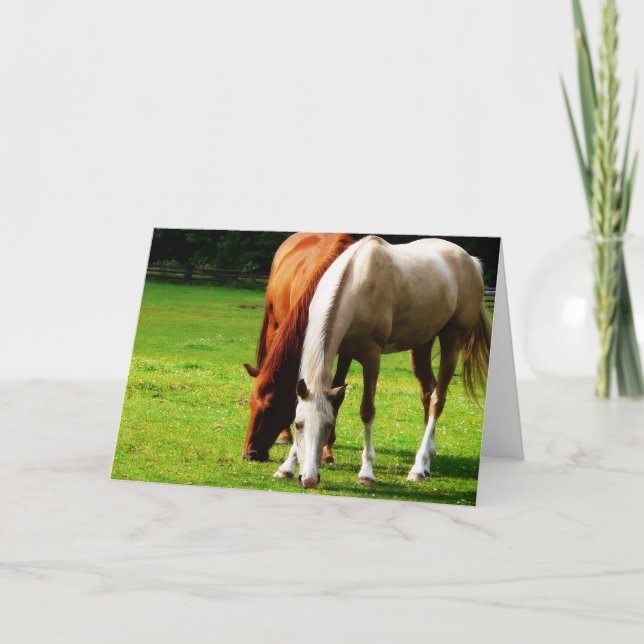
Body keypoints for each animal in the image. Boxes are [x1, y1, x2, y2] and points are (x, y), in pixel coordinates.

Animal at [242, 232, 355, 463]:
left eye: (271, 407)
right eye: (250, 403)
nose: (250, 454)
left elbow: (337, 395)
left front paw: (327, 448)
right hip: (274, 324)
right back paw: (285, 435)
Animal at [274, 235, 491, 488]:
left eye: (327, 426)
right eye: (298, 424)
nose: (308, 479)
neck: (355, 281)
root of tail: (471, 261)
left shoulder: (371, 357)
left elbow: (367, 411)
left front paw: (366, 472)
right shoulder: (345, 353)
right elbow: (334, 400)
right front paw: (286, 466)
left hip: (452, 343)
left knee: (438, 400)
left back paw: (418, 467)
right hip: (422, 343)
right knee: (428, 393)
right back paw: (428, 461)